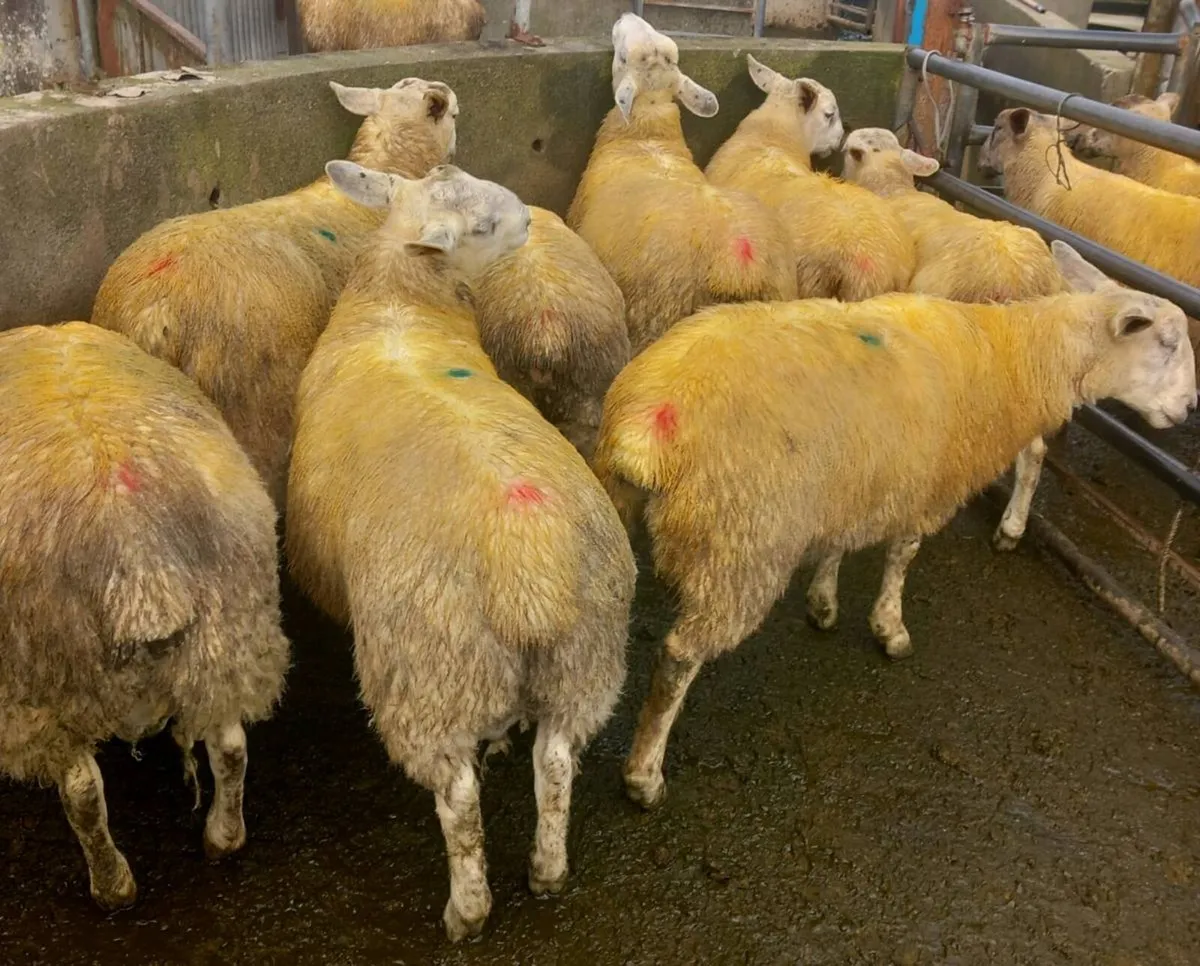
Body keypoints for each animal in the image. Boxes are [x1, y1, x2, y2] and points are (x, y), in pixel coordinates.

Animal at [0, 321, 290, 910]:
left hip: (50, 682)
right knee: (230, 747)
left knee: (83, 794)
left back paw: (112, 888)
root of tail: (137, 555)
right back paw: (223, 838)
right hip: (227, 639)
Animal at [592, 241, 1196, 809]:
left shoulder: (861, 482)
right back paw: (644, 776)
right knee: (677, 659)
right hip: (739, 545)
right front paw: (890, 628)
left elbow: (838, 547)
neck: (1017, 358)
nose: (1189, 407)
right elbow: (902, 557)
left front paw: (825, 603)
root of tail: (648, 427)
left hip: (625, 510)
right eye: (1167, 343)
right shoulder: (929, 488)